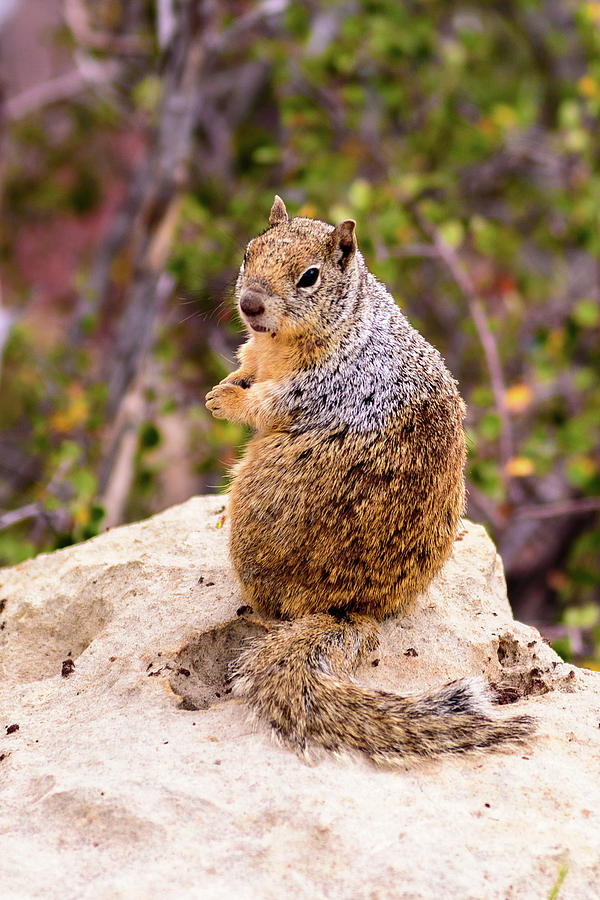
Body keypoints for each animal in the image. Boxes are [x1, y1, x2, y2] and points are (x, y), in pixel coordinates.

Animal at [206, 195, 536, 760]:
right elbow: (245, 366)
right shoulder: (257, 354)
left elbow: (263, 406)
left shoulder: (315, 387)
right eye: (249, 251)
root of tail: (348, 609)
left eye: (310, 276)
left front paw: (224, 400)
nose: (249, 305)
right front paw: (222, 385)